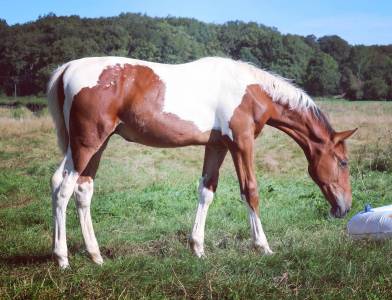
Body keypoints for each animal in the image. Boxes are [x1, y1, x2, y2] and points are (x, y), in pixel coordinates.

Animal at [47, 56, 356, 270]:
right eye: (343, 162)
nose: (344, 208)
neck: (251, 90)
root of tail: (68, 68)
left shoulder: (216, 146)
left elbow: (206, 192)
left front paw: (198, 248)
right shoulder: (241, 143)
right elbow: (250, 191)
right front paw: (263, 246)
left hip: (95, 145)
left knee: (80, 190)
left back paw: (96, 256)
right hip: (87, 144)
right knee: (63, 189)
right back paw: (62, 259)